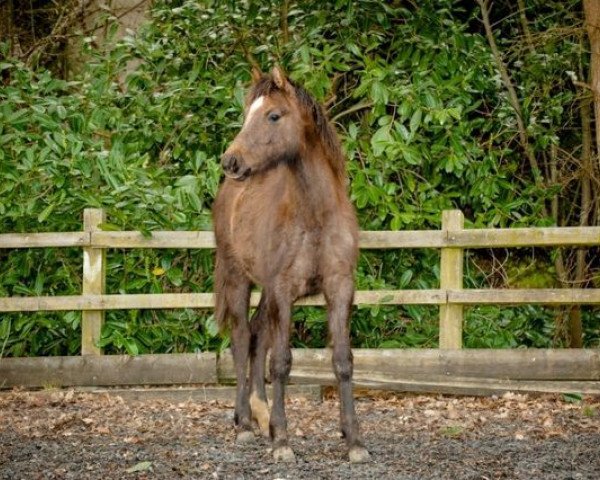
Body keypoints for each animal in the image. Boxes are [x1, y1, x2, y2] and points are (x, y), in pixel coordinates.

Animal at [211, 65, 370, 464]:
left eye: (273, 115)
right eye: (246, 114)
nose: (230, 161)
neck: (315, 215)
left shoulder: (339, 287)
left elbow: (343, 360)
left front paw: (354, 440)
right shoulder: (284, 291)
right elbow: (281, 362)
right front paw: (282, 440)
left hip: (267, 292)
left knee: (256, 336)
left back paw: (258, 413)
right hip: (238, 280)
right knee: (241, 340)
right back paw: (245, 425)